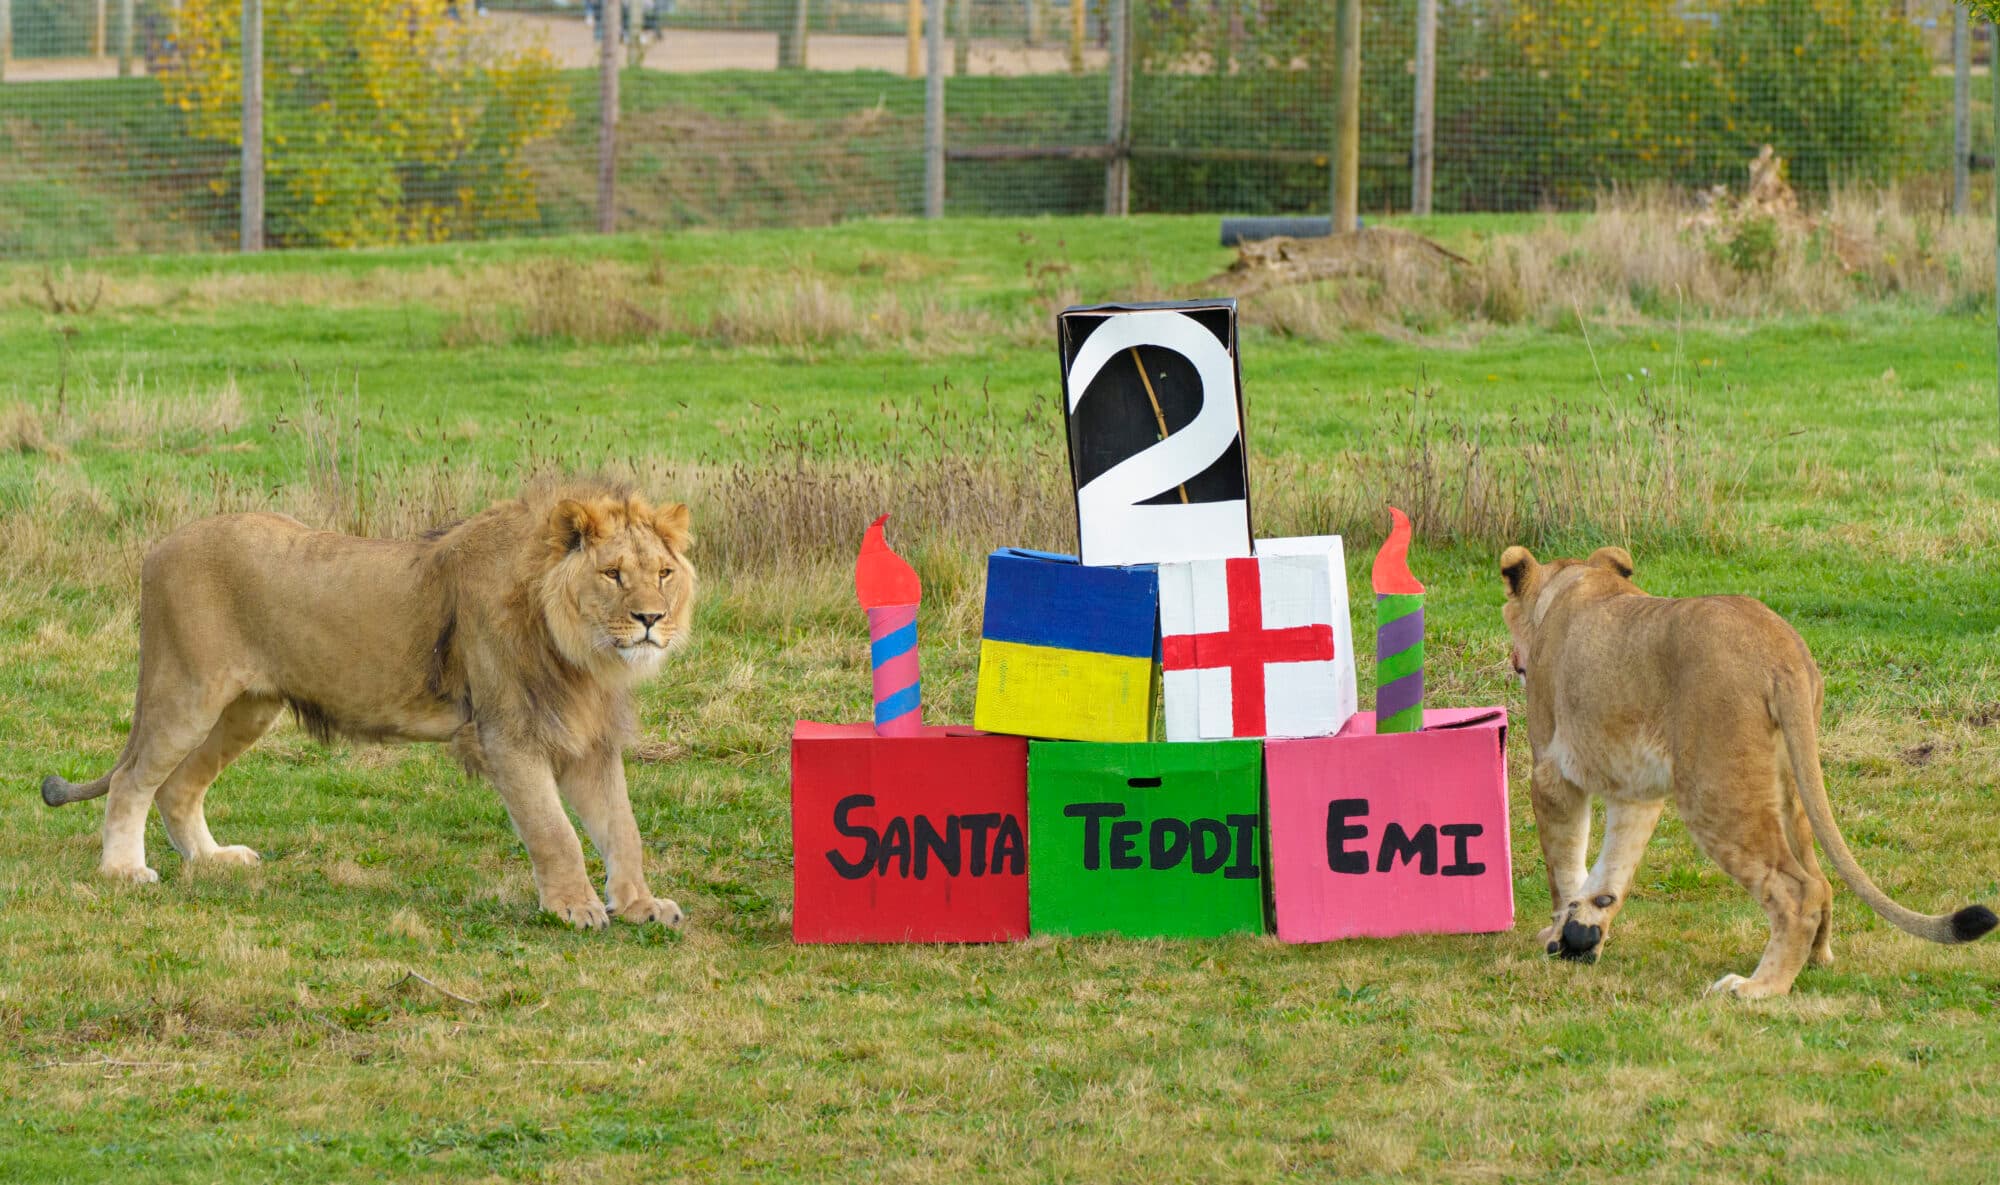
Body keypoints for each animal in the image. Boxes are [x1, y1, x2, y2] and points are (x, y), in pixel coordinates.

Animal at [40, 479, 696, 930]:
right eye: (612, 574)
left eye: (664, 573)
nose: (651, 620)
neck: (581, 654)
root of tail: (159, 548)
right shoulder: (507, 736)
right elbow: (554, 831)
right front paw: (574, 908)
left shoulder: (589, 741)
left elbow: (622, 828)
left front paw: (640, 904)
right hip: (186, 691)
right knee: (132, 779)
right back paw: (124, 872)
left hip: (246, 708)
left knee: (177, 786)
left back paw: (212, 859)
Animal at [1499, 544, 1995, 997]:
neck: (1576, 583)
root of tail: (1781, 650)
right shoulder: (1636, 790)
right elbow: (1613, 864)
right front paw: (1582, 933)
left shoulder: (1552, 774)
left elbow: (1564, 865)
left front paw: (1558, 934)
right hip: (1788, 786)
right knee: (1820, 880)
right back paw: (1814, 959)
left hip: (1713, 790)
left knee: (1796, 890)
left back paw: (1759, 987)